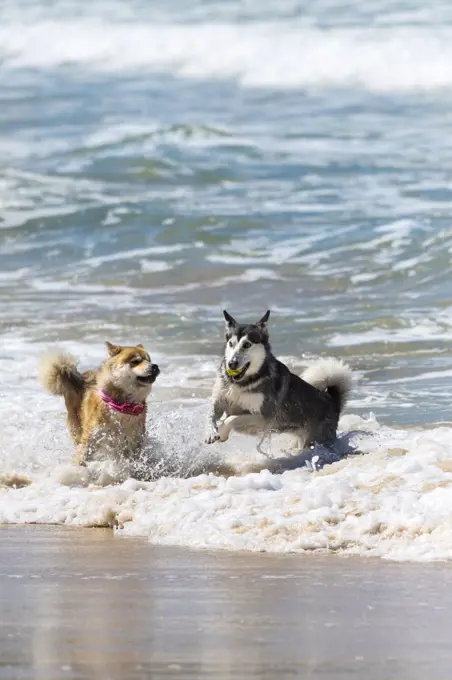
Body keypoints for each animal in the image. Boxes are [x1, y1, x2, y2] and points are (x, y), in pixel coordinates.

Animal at [205, 312, 354, 452]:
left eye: (247, 345)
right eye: (231, 344)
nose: (232, 364)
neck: (241, 384)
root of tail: (332, 401)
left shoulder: (263, 417)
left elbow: (231, 419)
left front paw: (222, 433)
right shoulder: (219, 401)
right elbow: (210, 415)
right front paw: (211, 433)